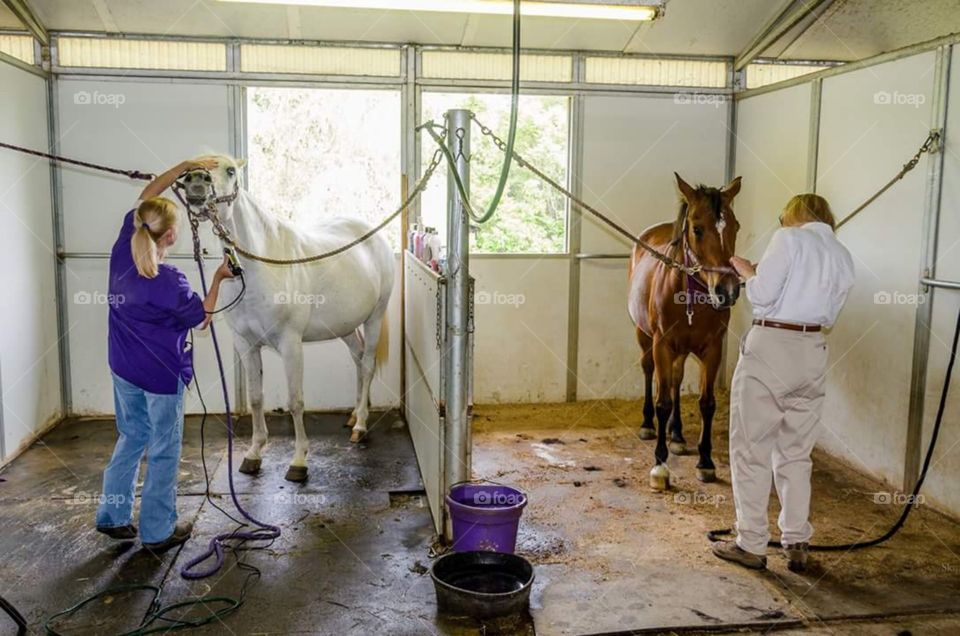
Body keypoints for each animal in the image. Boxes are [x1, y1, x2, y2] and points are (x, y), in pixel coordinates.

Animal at [180, 154, 394, 482]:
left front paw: (299, 460)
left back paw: (360, 426)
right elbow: (256, 398)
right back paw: (354, 415)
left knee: (368, 363)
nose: (196, 184)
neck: (260, 267)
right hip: (346, 326)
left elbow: (295, 401)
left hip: (374, 317)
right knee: (358, 359)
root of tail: (375, 235)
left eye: (230, 171)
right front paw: (254, 453)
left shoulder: (290, 344)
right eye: (192, 166)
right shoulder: (246, 344)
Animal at [628, 174, 748, 492]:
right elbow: (663, 402)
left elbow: (706, 403)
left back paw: (678, 435)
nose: (727, 291)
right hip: (644, 336)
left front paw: (706, 462)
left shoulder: (713, 348)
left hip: (681, 351)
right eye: (697, 228)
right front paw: (660, 465)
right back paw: (648, 425)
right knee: (650, 372)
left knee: (676, 380)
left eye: (736, 226)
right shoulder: (662, 344)